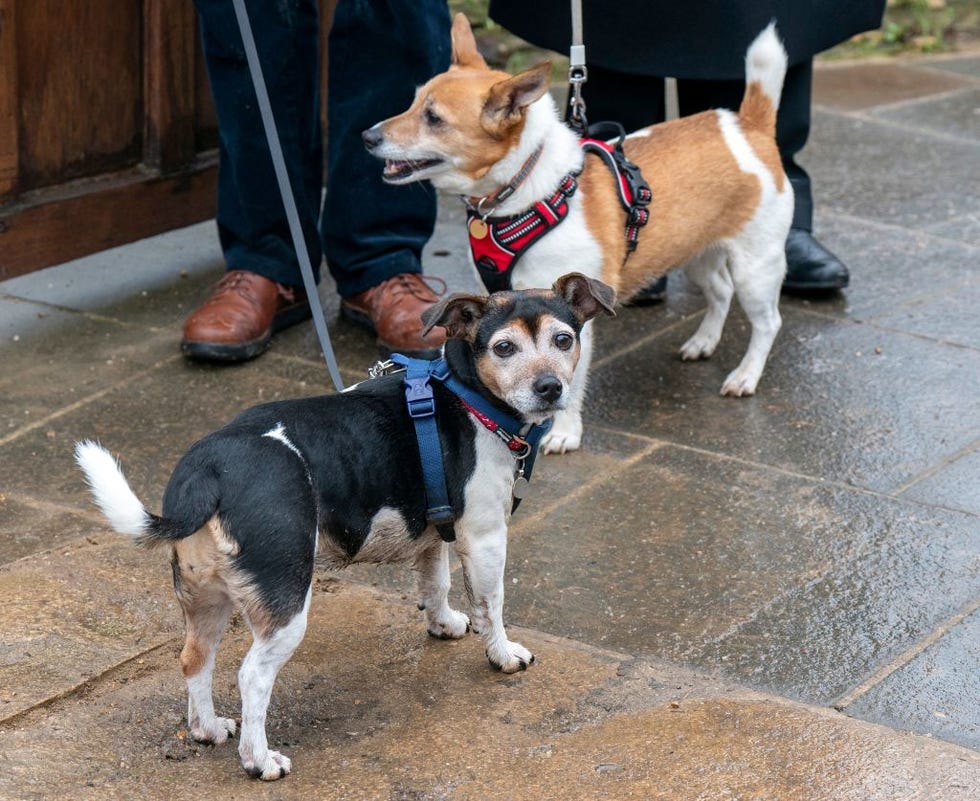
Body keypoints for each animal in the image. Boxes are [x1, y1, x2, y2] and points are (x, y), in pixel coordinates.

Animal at [74, 274, 612, 780]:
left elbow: (434, 584)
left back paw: (207, 728)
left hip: (205, 596)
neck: (466, 394)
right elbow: (491, 604)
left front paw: (442, 624)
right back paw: (260, 760)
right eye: (504, 348)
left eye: (563, 339)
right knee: (252, 676)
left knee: (194, 658)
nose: (550, 388)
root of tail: (209, 471)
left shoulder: (433, 532)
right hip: (286, 598)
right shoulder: (484, 538)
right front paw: (502, 654)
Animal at [364, 14, 792, 450]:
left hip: (756, 267)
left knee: (767, 322)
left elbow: (567, 377)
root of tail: (748, 126)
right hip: (695, 252)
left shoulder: (571, 317)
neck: (526, 188)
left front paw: (564, 432)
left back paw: (745, 375)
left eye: (433, 118)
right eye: (414, 102)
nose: (367, 137)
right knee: (720, 291)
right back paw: (703, 342)